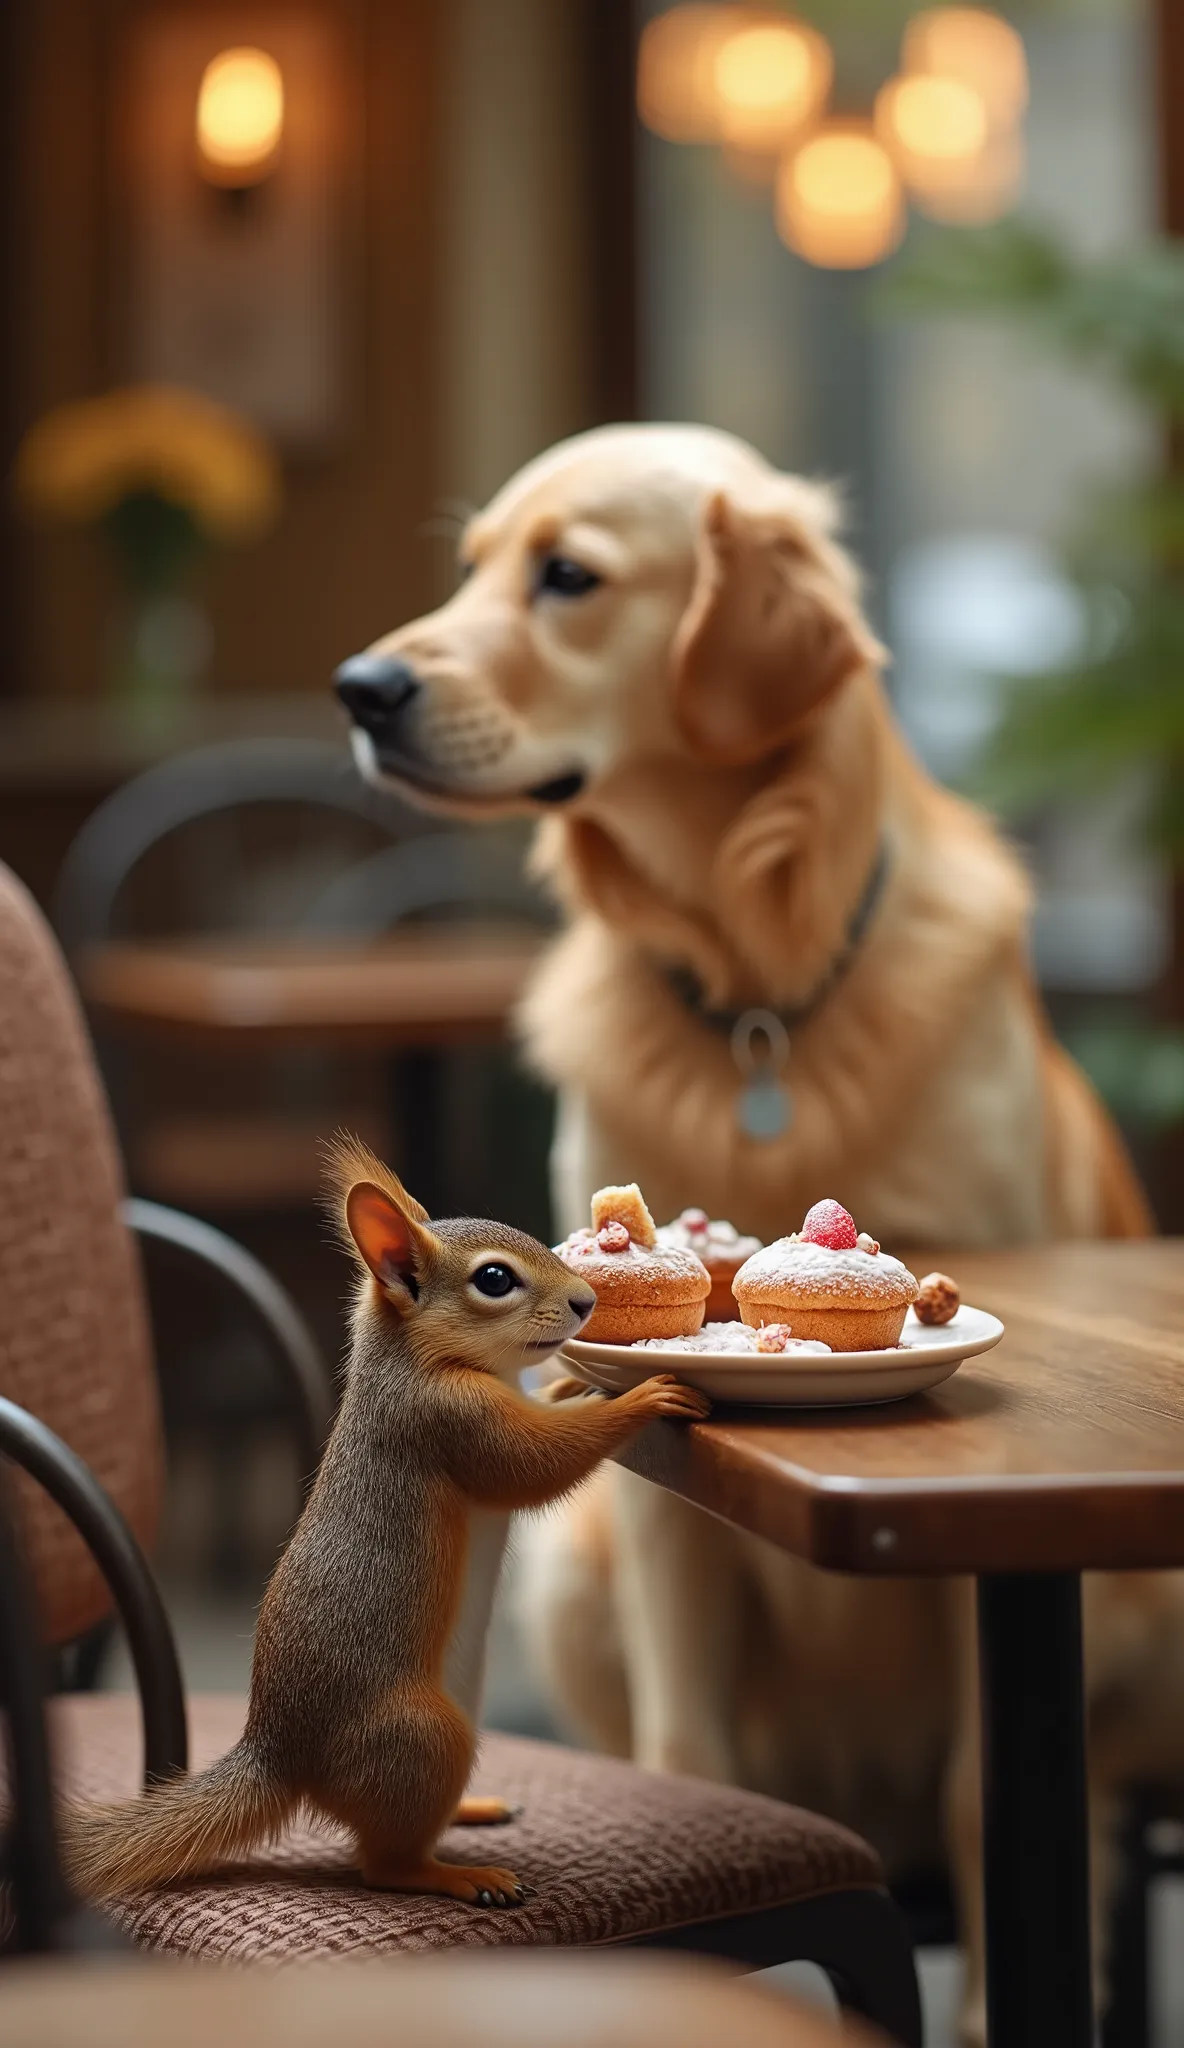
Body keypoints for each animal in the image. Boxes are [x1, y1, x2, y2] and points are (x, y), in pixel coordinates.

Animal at [62, 1138, 708, 1900]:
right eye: (495, 1278)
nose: (587, 1301)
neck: (412, 1359)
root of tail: (283, 1758)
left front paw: (575, 1383)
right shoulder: (446, 1420)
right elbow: (532, 1464)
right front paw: (646, 1395)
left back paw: (472, 1810)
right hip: (424, 1737)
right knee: (384, 1864)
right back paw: (462, 1875)